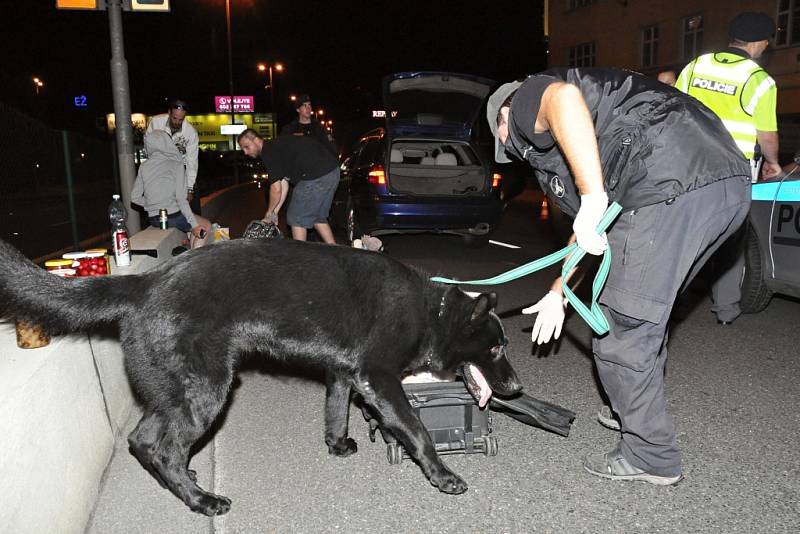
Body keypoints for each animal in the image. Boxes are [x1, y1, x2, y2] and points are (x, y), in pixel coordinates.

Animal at [0, 238, 524, 516]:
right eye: (496, 348)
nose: (517, 387)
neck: (431, 311)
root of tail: (145, 281)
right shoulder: (378, 377)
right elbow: (416, 431)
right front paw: (443, 475)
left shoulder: (344, 373)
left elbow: (336, 411)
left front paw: (337, 445)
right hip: (207, 388)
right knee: (164, 447)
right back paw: (201, 501)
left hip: (175, 392)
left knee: (144, 439)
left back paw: (183, 483)